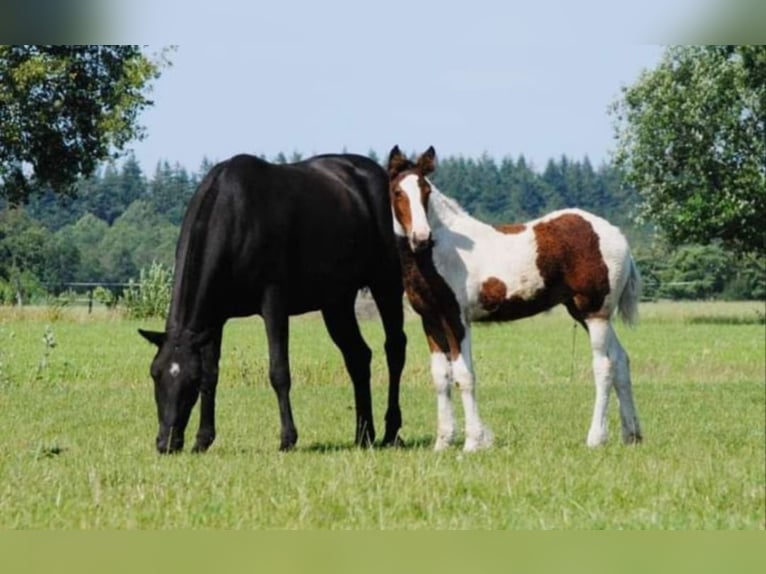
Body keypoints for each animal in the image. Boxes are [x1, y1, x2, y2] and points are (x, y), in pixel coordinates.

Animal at [139, 152, 407, 454]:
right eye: (155, 374)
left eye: (189, 383)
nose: (167, 442)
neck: (234, 211)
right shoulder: (213, 318)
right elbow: (212, 374)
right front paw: (203, 439)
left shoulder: (274, 303)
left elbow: (279, 371)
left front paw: (288, 438)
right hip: (336, 302)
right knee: (358, 357)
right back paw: (364, 434)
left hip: (386, 282)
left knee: (394, 349)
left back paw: (391, 430)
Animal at [387, 145, 642, 452]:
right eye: (397, 192)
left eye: (425, 190)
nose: (421, 237)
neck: (438, 254)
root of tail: (619, 236)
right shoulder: (431, 320)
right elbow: (441, 377)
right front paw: (443, 443)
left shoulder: (457, 319)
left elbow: (464, 376)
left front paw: (473, 442)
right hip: (584, 313)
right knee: (621, 360)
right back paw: (632, 435)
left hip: (595, 313)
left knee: (604, 366)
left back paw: (595, 437)